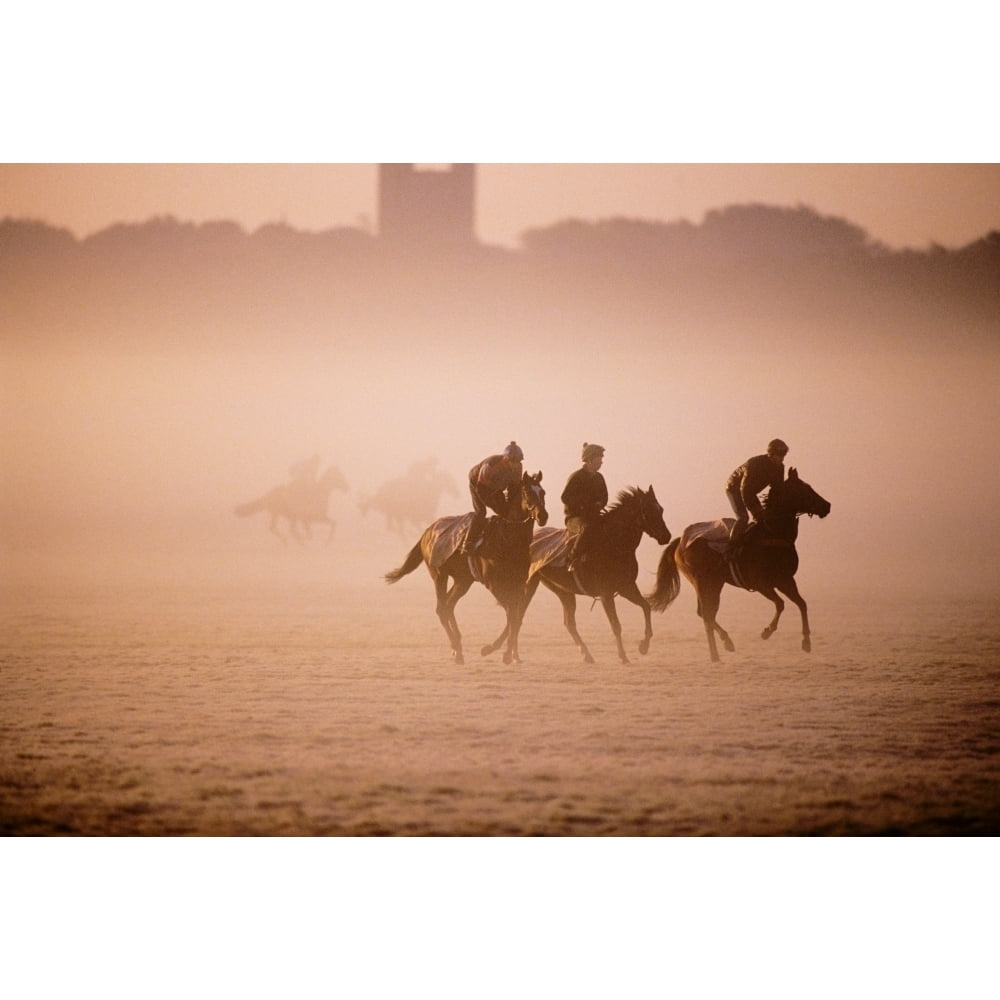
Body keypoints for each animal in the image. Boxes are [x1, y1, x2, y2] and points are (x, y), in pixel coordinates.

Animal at [384, 472, 548, 665]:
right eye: (528, 492)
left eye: (543, 492)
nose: (543, 516)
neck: (508, 539)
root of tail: (427, 531)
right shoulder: (493, 583)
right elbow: (511, 612)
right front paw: (496, 650)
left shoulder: (518, 582)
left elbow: (517, 614)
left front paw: (505, 652)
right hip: (439, 574)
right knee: (441, 608)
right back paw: (457, 649)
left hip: (463, 580)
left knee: (449, 604)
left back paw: (457, 647)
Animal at [484, 486, 671, 665]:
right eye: (649, 511)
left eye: (661, 509)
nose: (666, 536)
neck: (613, 544)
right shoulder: (606, 594)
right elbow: (616, 625)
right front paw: (623, 656)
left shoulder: (626, 587)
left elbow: (646, 607)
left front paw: (644, 646)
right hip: (529, 585)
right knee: (517, 616)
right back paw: (504, 652)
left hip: (563, 591)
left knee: (565, 622)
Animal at [646, 468, 831, 662]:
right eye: (804, 489)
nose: (827, 505)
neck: (772, 534)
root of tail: (680, 541)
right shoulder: (761, 584)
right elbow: (780, 604)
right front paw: (767, 631)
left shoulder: (785, 580)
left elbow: (802, 604)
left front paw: (806, 642)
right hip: (703, 582)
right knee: (707, 614)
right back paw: (716, 653)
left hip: (714, 583)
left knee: (704, 613)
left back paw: (726, 642)